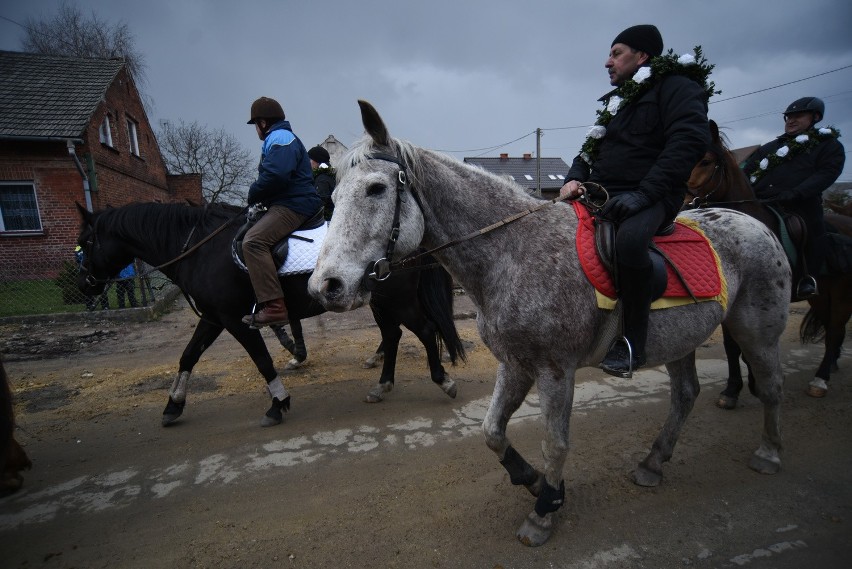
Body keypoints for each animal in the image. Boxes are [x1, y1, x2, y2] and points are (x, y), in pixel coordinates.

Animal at [308, 102, 792, 544]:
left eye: (375, 188)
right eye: (331, 198)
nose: (325, 286)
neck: (514, 251)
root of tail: (755, 221)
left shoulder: (556, 372)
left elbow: (555, 442)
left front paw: (544, 511)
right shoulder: (515, 364)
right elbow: (492, 432)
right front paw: (535, 482)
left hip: (755, 330)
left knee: (770, 386)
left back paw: (769, 453)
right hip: (681, 341)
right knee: (686, 395)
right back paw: (653, 462)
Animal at [684, 121, 852, 402]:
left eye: (706, 161)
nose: (683, 202)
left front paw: (754, 382)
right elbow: (732, 346)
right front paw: (734, 388)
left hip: (841, 293)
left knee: (835, 330)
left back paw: (821, 378)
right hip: (821, 294)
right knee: (830, 326)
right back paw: (833, 364)